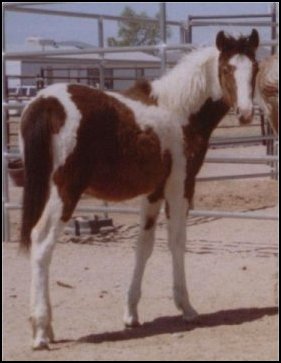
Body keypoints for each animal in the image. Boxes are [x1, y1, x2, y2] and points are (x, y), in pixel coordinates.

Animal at [19, 29, 260, 350]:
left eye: (254, 68)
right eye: (226, 69)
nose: (245, 114)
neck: (178, 111)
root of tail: (46, 102)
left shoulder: (153, 193)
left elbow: (143, 247)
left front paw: (131, 313)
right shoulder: (179, 187)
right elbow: (176, 242)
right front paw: (186, 307)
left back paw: (47, 327)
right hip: (65, 193)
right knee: (41, 242)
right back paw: (41, 332)